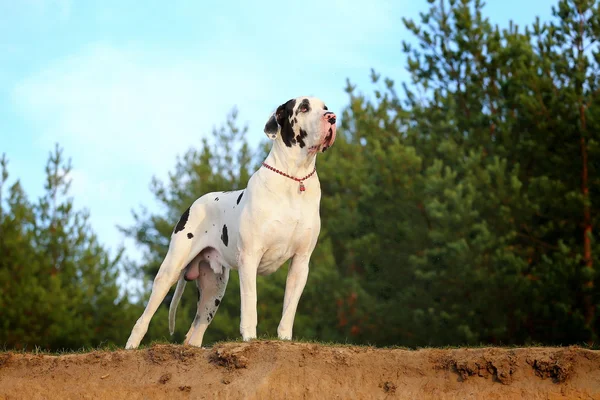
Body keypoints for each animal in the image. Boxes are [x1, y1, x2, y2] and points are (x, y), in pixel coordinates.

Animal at [125, 95, 338, 348]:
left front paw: (285, 339)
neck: (294, 178)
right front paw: (249, 338)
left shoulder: (301, 262)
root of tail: (194, 204)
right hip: (169, 271)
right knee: (144, 318)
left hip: (213, 290)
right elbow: (250, 303)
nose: (332, 117)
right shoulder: (250, 257)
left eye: (325, 108)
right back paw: (131, 346)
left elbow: (289, 308)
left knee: (196, 330)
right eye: (304, 107)